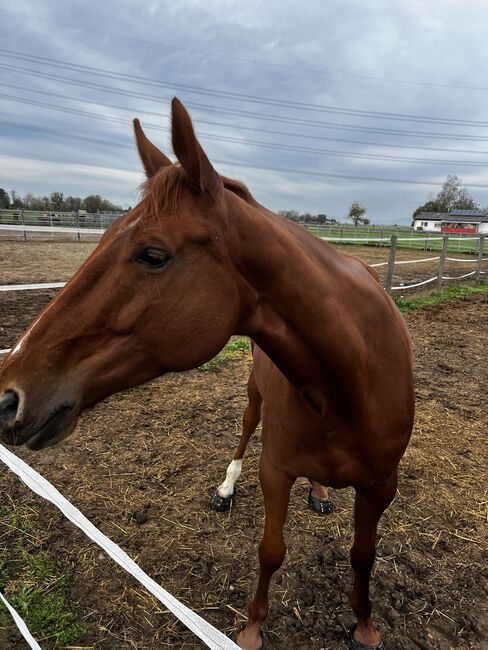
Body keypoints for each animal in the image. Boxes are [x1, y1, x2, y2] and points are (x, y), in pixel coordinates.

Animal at [0, 97, 414, 648]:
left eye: (152, 255)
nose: (8, 396)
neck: (351, 381)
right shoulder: (275, 471)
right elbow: (270, 551)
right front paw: (253, 629)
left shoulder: (381, 485)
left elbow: (363, 555)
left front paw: (364, 626)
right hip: (254, 395)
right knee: (244, 432)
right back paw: (227, 487)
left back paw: (321, 492)